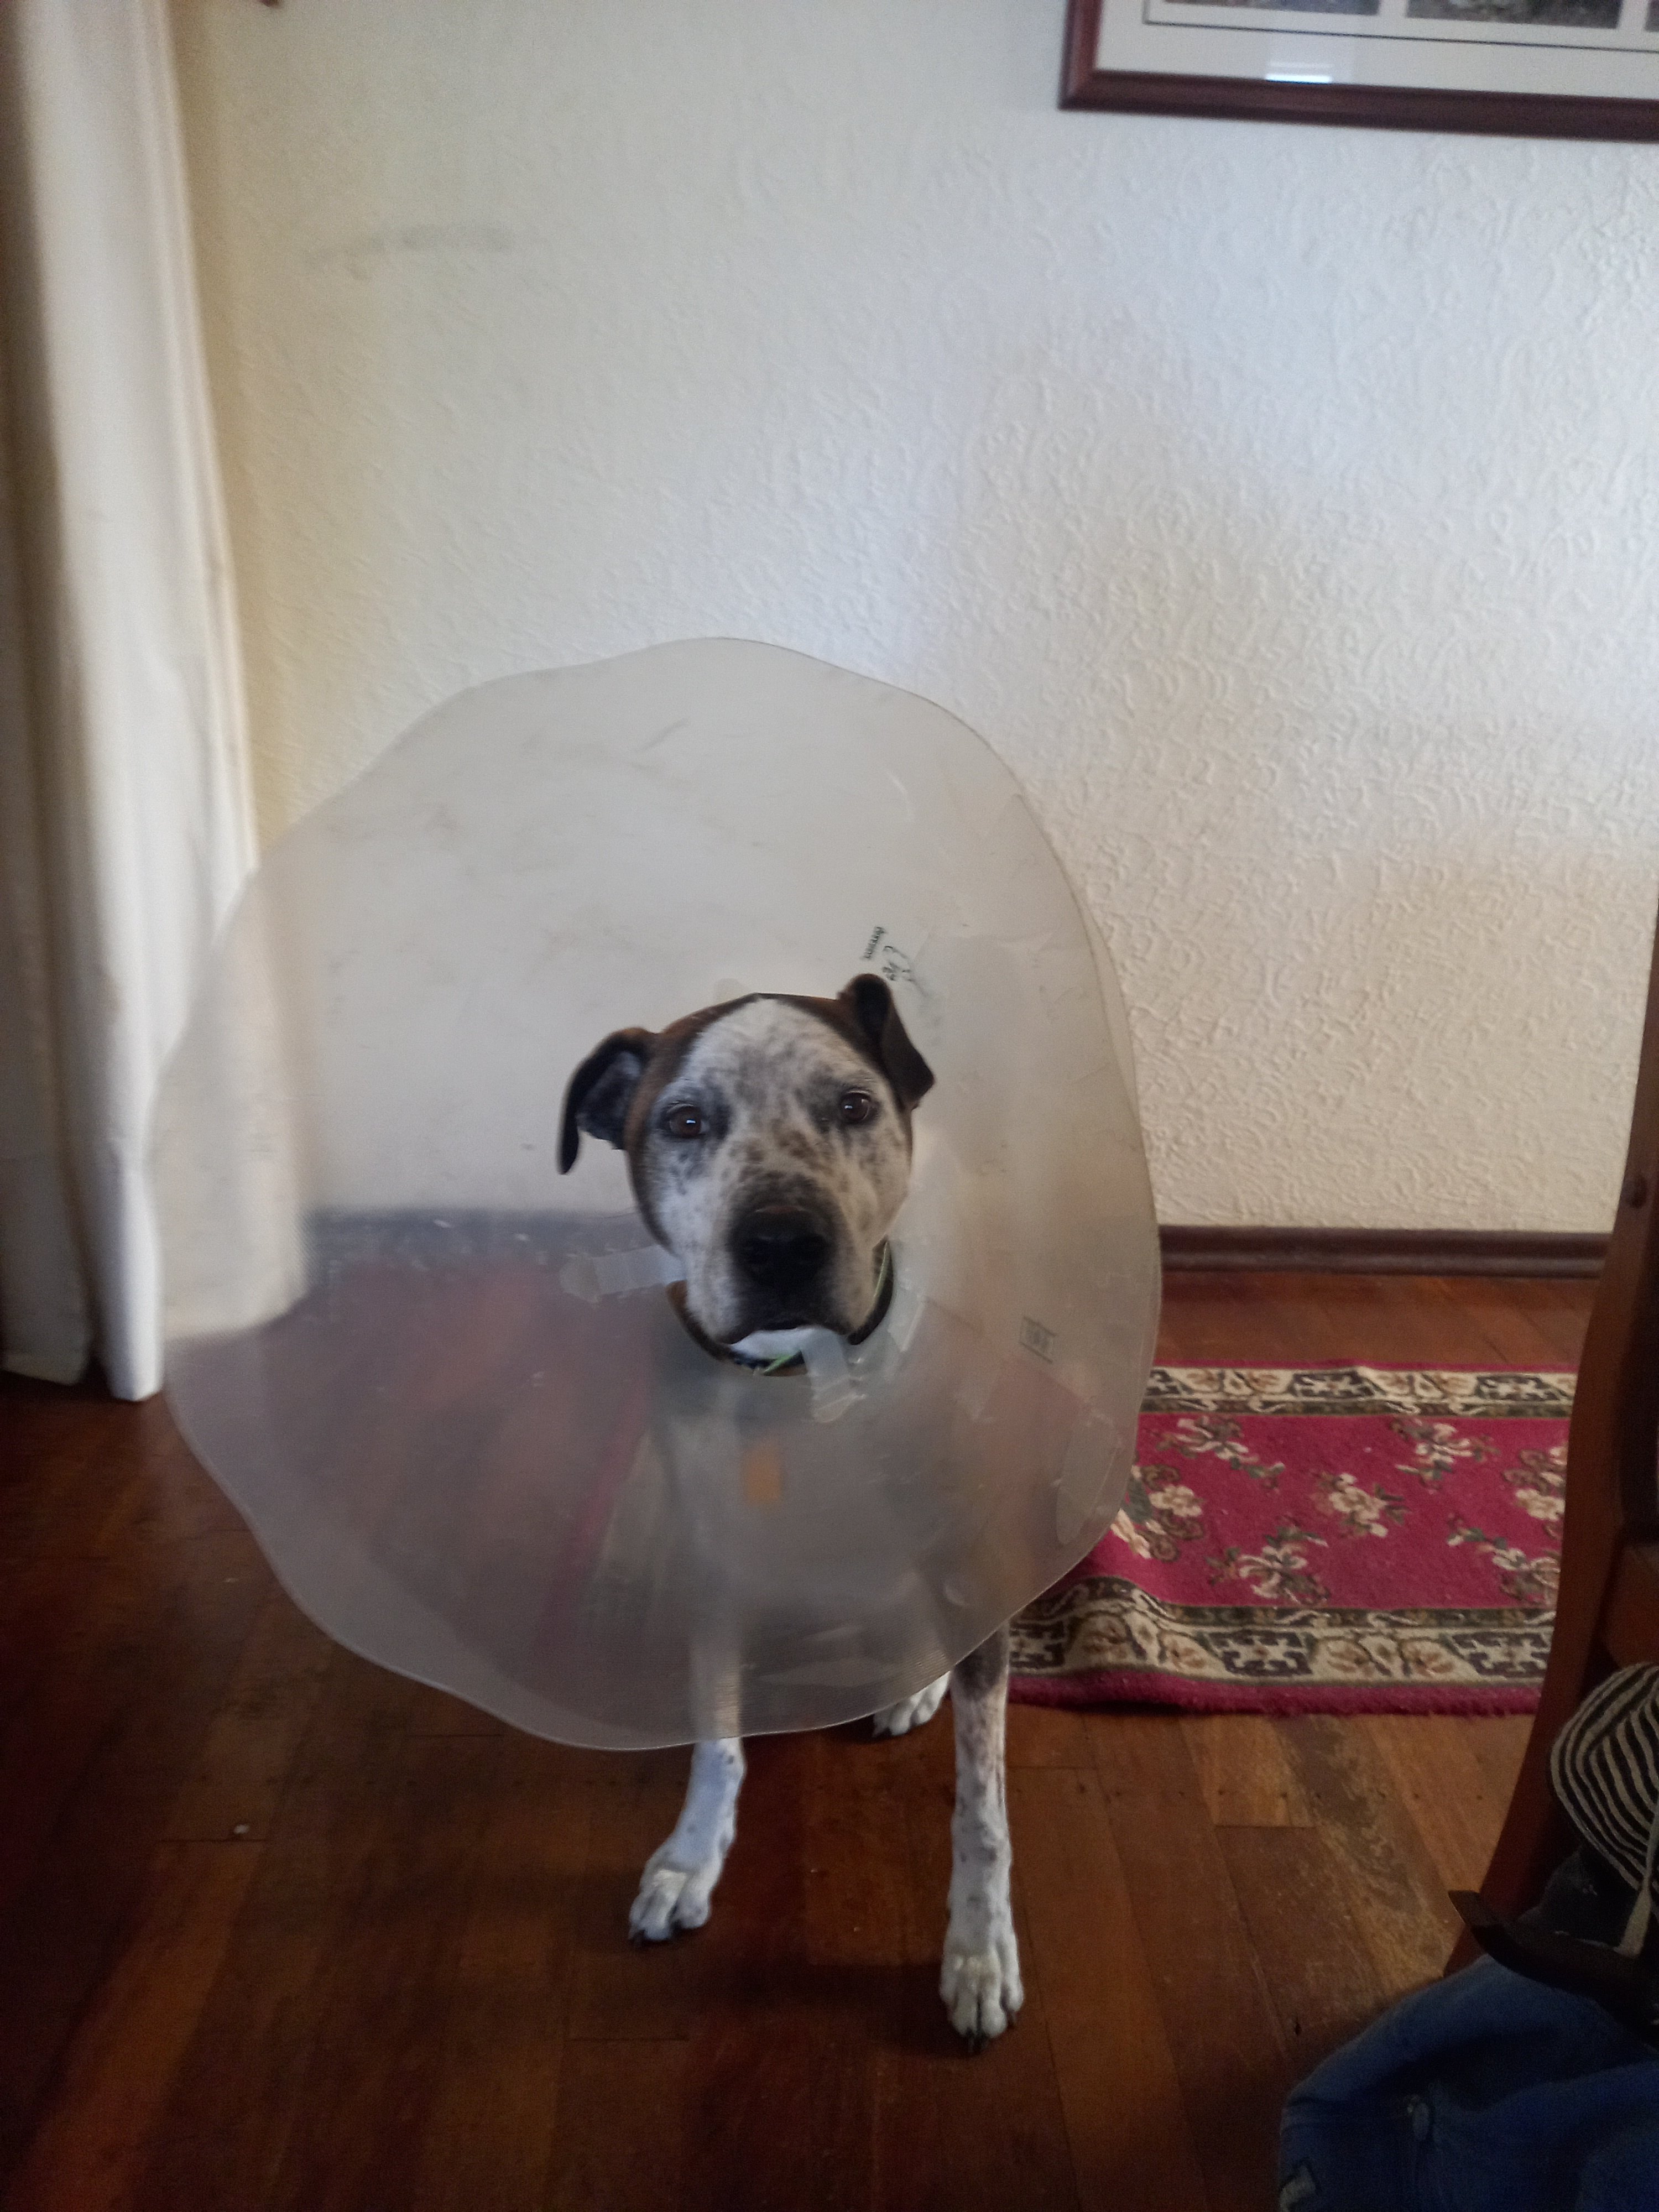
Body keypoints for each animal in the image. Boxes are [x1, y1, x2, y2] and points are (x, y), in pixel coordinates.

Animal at [558, 973, 1021, 2047]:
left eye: (851, 1105)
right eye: (685, 1121)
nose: (779, 1243)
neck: (800, 1381)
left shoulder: (975, 1557)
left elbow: (980, 1808)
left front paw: (978, 1952)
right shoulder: (713, 1564)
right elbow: (716, 1738)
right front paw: (693, 1855)